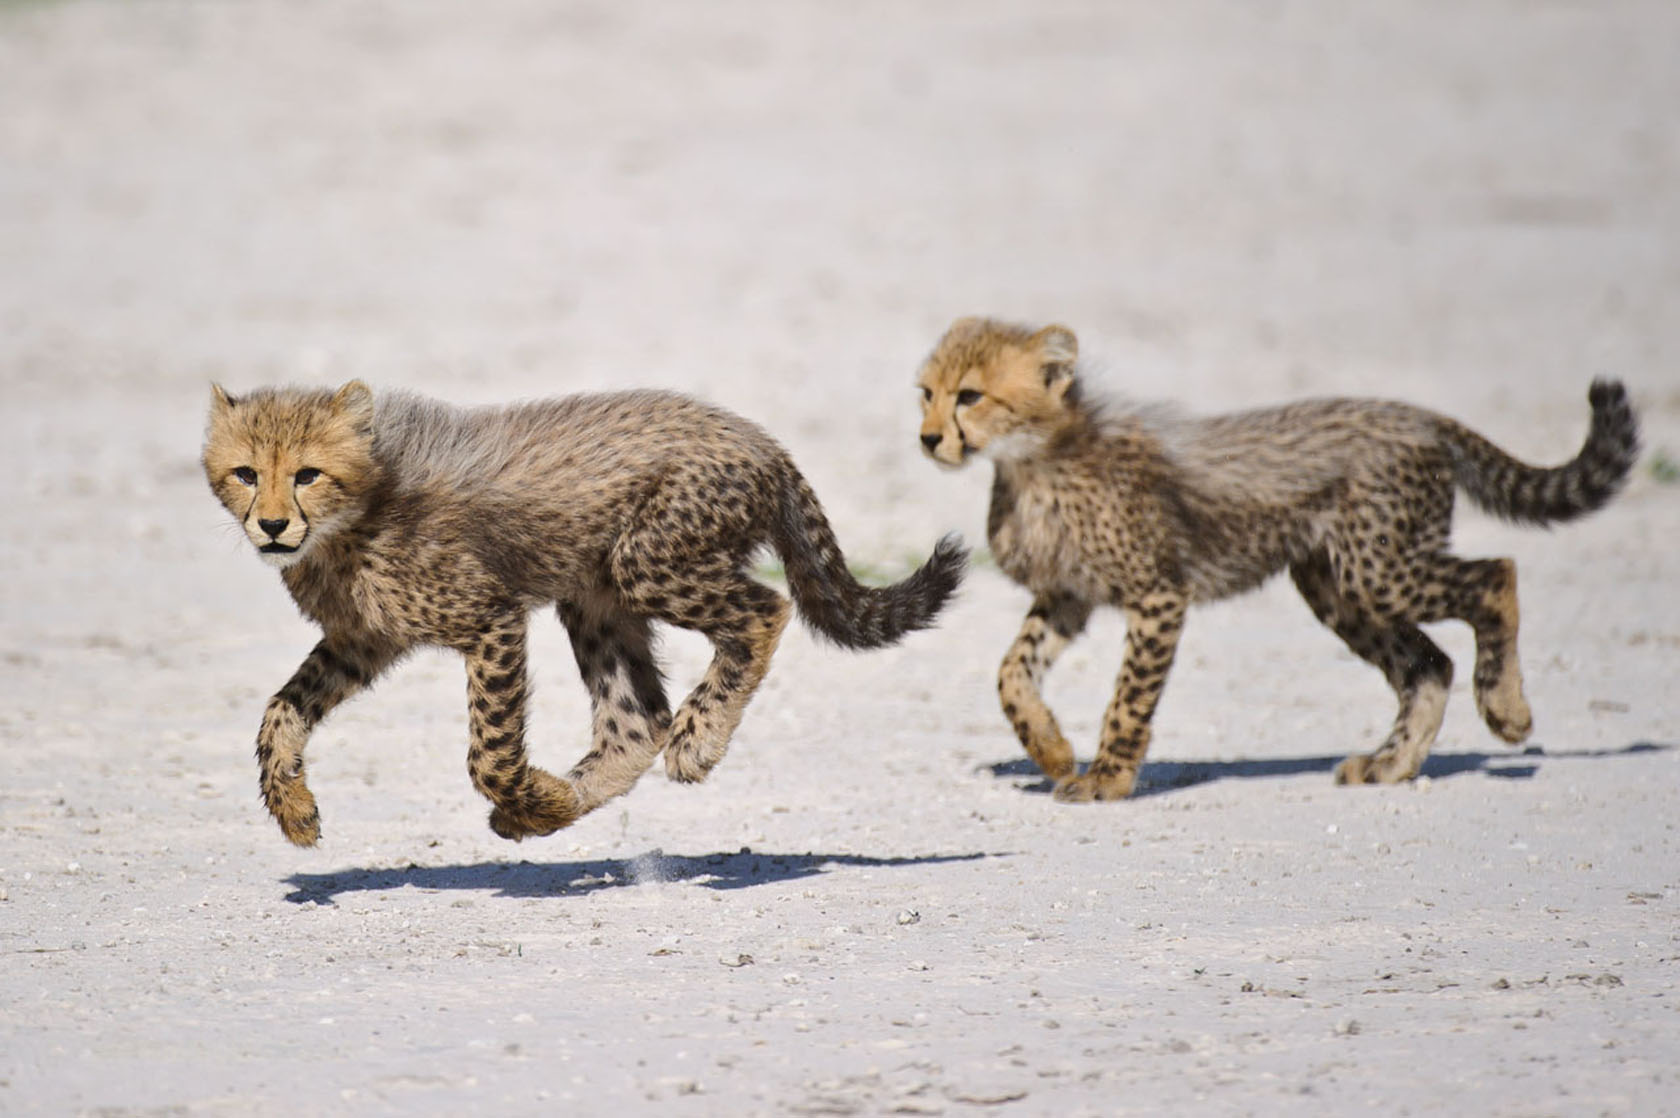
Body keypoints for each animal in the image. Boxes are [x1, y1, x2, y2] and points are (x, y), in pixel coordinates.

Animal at [204, 380, 966, 846]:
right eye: (246, 474)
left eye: (308, 474)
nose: (272, 526)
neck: (355, 519)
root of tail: (754, 436)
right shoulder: (363, 641)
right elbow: (279, 711)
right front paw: (293, 809)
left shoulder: (491, 619)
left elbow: (489, 751)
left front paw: (532, 795)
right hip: (594, 594)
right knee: (638, 720)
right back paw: (564, 804)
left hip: (648, 560)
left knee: (766, 609)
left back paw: (694, 742)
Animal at [916, 316, 1639, 800]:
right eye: (925, 391)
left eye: (970, 396)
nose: (926, 439)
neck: (1035, 462)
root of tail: (1417, 415)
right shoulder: (1068, 597)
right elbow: (1012, 674)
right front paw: (1052, 749)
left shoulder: (1158, 594)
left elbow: (1128, 697)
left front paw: (1110, 776)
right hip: (1336, 586)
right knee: (1428, 664)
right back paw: (1391, 764)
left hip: (1379, 572)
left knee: (1496, 577)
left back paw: (1506, 711)